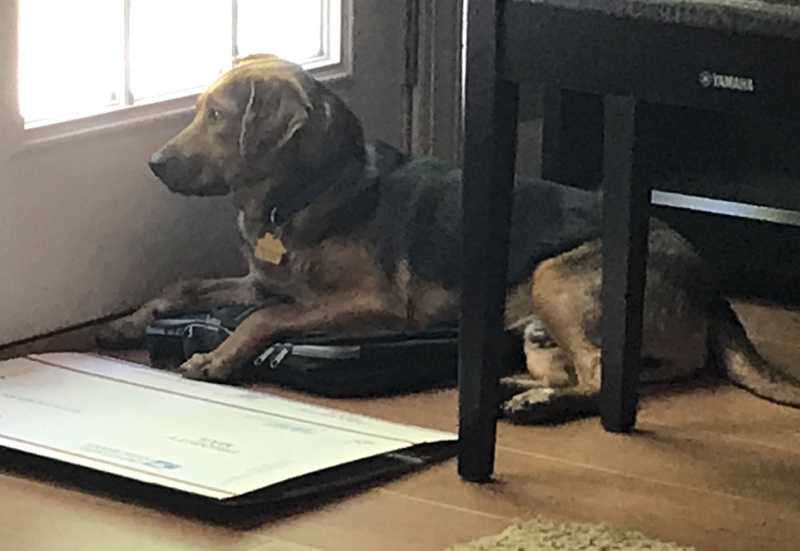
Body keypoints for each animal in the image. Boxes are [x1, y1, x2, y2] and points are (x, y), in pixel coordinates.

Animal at [98, 52, 800, 422]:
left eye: (217, 116)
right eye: (198, 111)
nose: (154, 163)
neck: (307, 194)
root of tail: (710, 282)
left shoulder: (374, 305)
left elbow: (265, 319)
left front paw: (218, 356)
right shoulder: (257, 280)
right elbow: (187, 284)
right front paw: (130, 321)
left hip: (555, 279)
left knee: (605, 376)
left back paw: (535, 404)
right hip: (542, 331)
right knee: (636, 372)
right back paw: (519, 387)